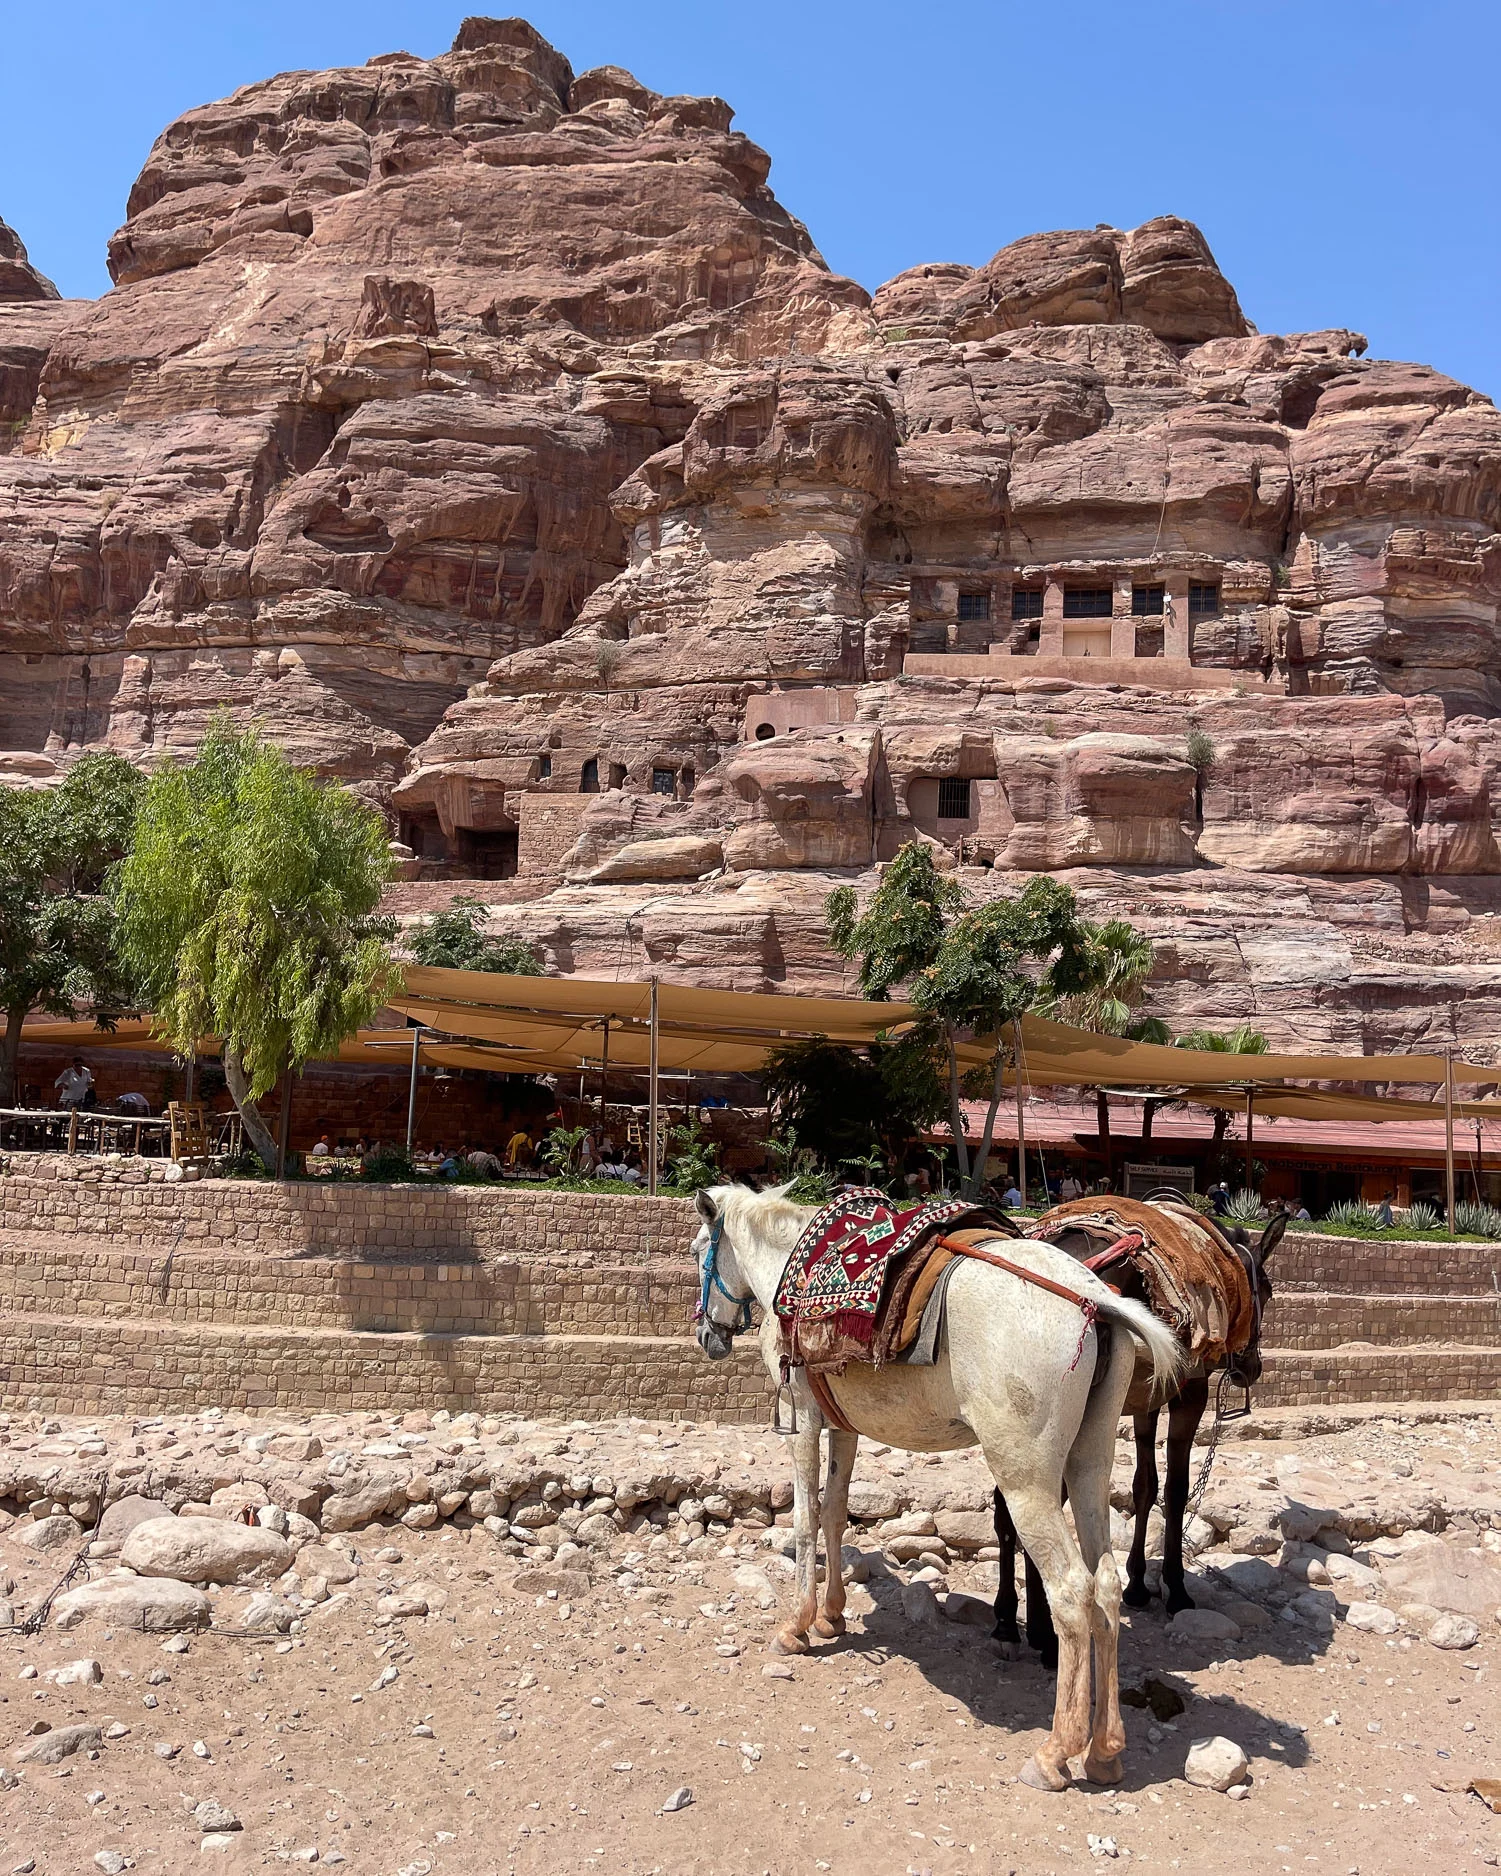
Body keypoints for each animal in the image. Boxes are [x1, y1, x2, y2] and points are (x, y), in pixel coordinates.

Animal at [690, 1185, 1185, 1785]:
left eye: (698, 1250)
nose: (706, 1335)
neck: (791, 1269)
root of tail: (1095, 1300)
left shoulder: (802, 1417)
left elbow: (806, 1519)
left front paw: (797, 1626)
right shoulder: (843, 1426)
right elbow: (835, 1513)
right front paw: (832, 1615)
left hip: (1026, 1479)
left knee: (1072, 1591)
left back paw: (1056, 1753)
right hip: (1088, 1464)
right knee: (1107, 1585)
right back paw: (1105, 1751)